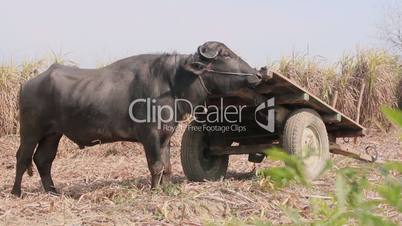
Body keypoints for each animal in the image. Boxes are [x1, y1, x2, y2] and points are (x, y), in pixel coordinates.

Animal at [11, 41, 262, 197]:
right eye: (225, 55)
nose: (258, 74)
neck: (171, 82)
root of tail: (29, 83)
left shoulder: (165, 135)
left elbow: (167, 166)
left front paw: (166, 189)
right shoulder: (149, 135)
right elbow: (156, 165)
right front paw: (154, 190)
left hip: (53, 134)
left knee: (43, 160)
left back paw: (53, 191)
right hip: (30, 131)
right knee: (23, 157)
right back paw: (16, 192)